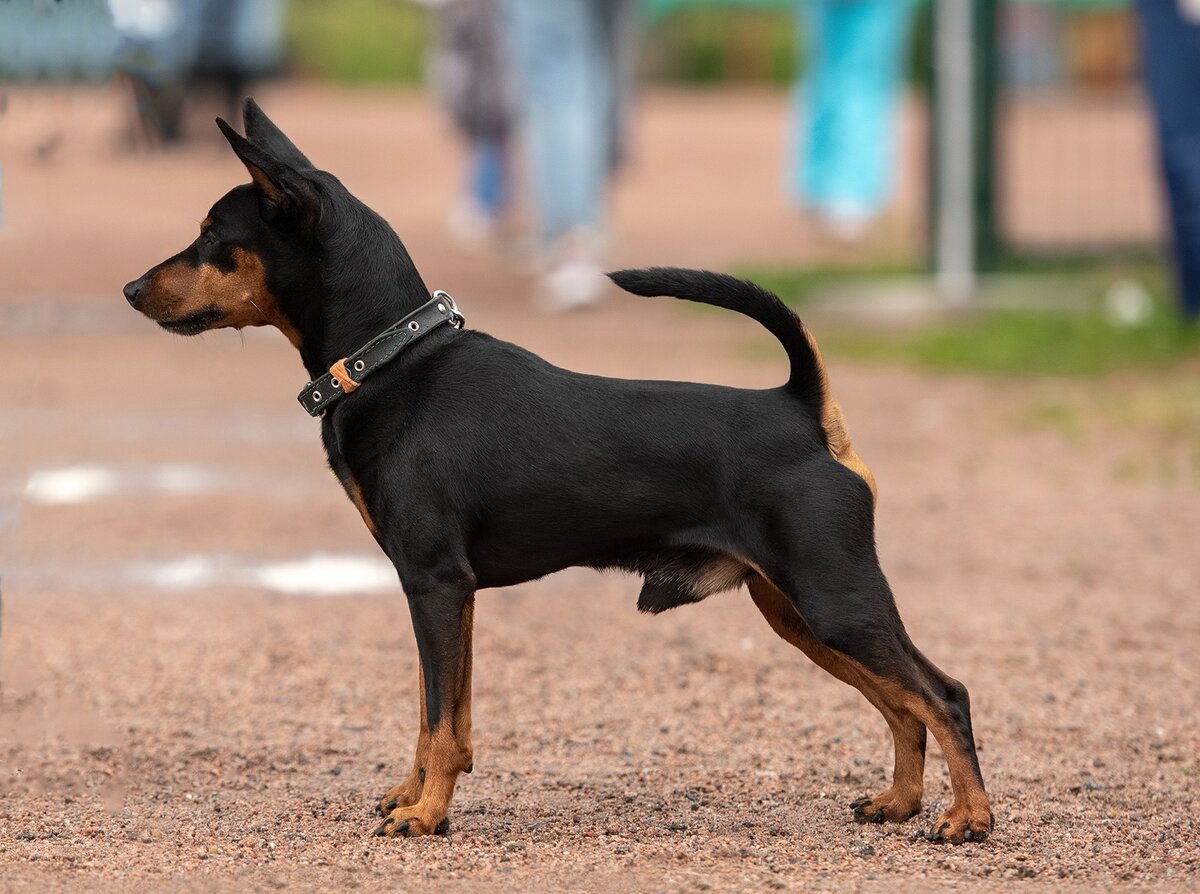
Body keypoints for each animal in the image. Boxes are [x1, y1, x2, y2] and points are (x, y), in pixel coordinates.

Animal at [121, 101, 993, 840]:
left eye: (212, 236)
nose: (130, 287)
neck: (392, 361)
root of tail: (802, 407)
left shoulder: (434, 583)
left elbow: (439, 720)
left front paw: (426, 816)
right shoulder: (453, 595)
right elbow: (444, 717)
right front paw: (415, 796)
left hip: (831, 596)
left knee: (942, 694)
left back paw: (968, 819)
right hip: (793, 608)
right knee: (902, 704)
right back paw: (900, 804)